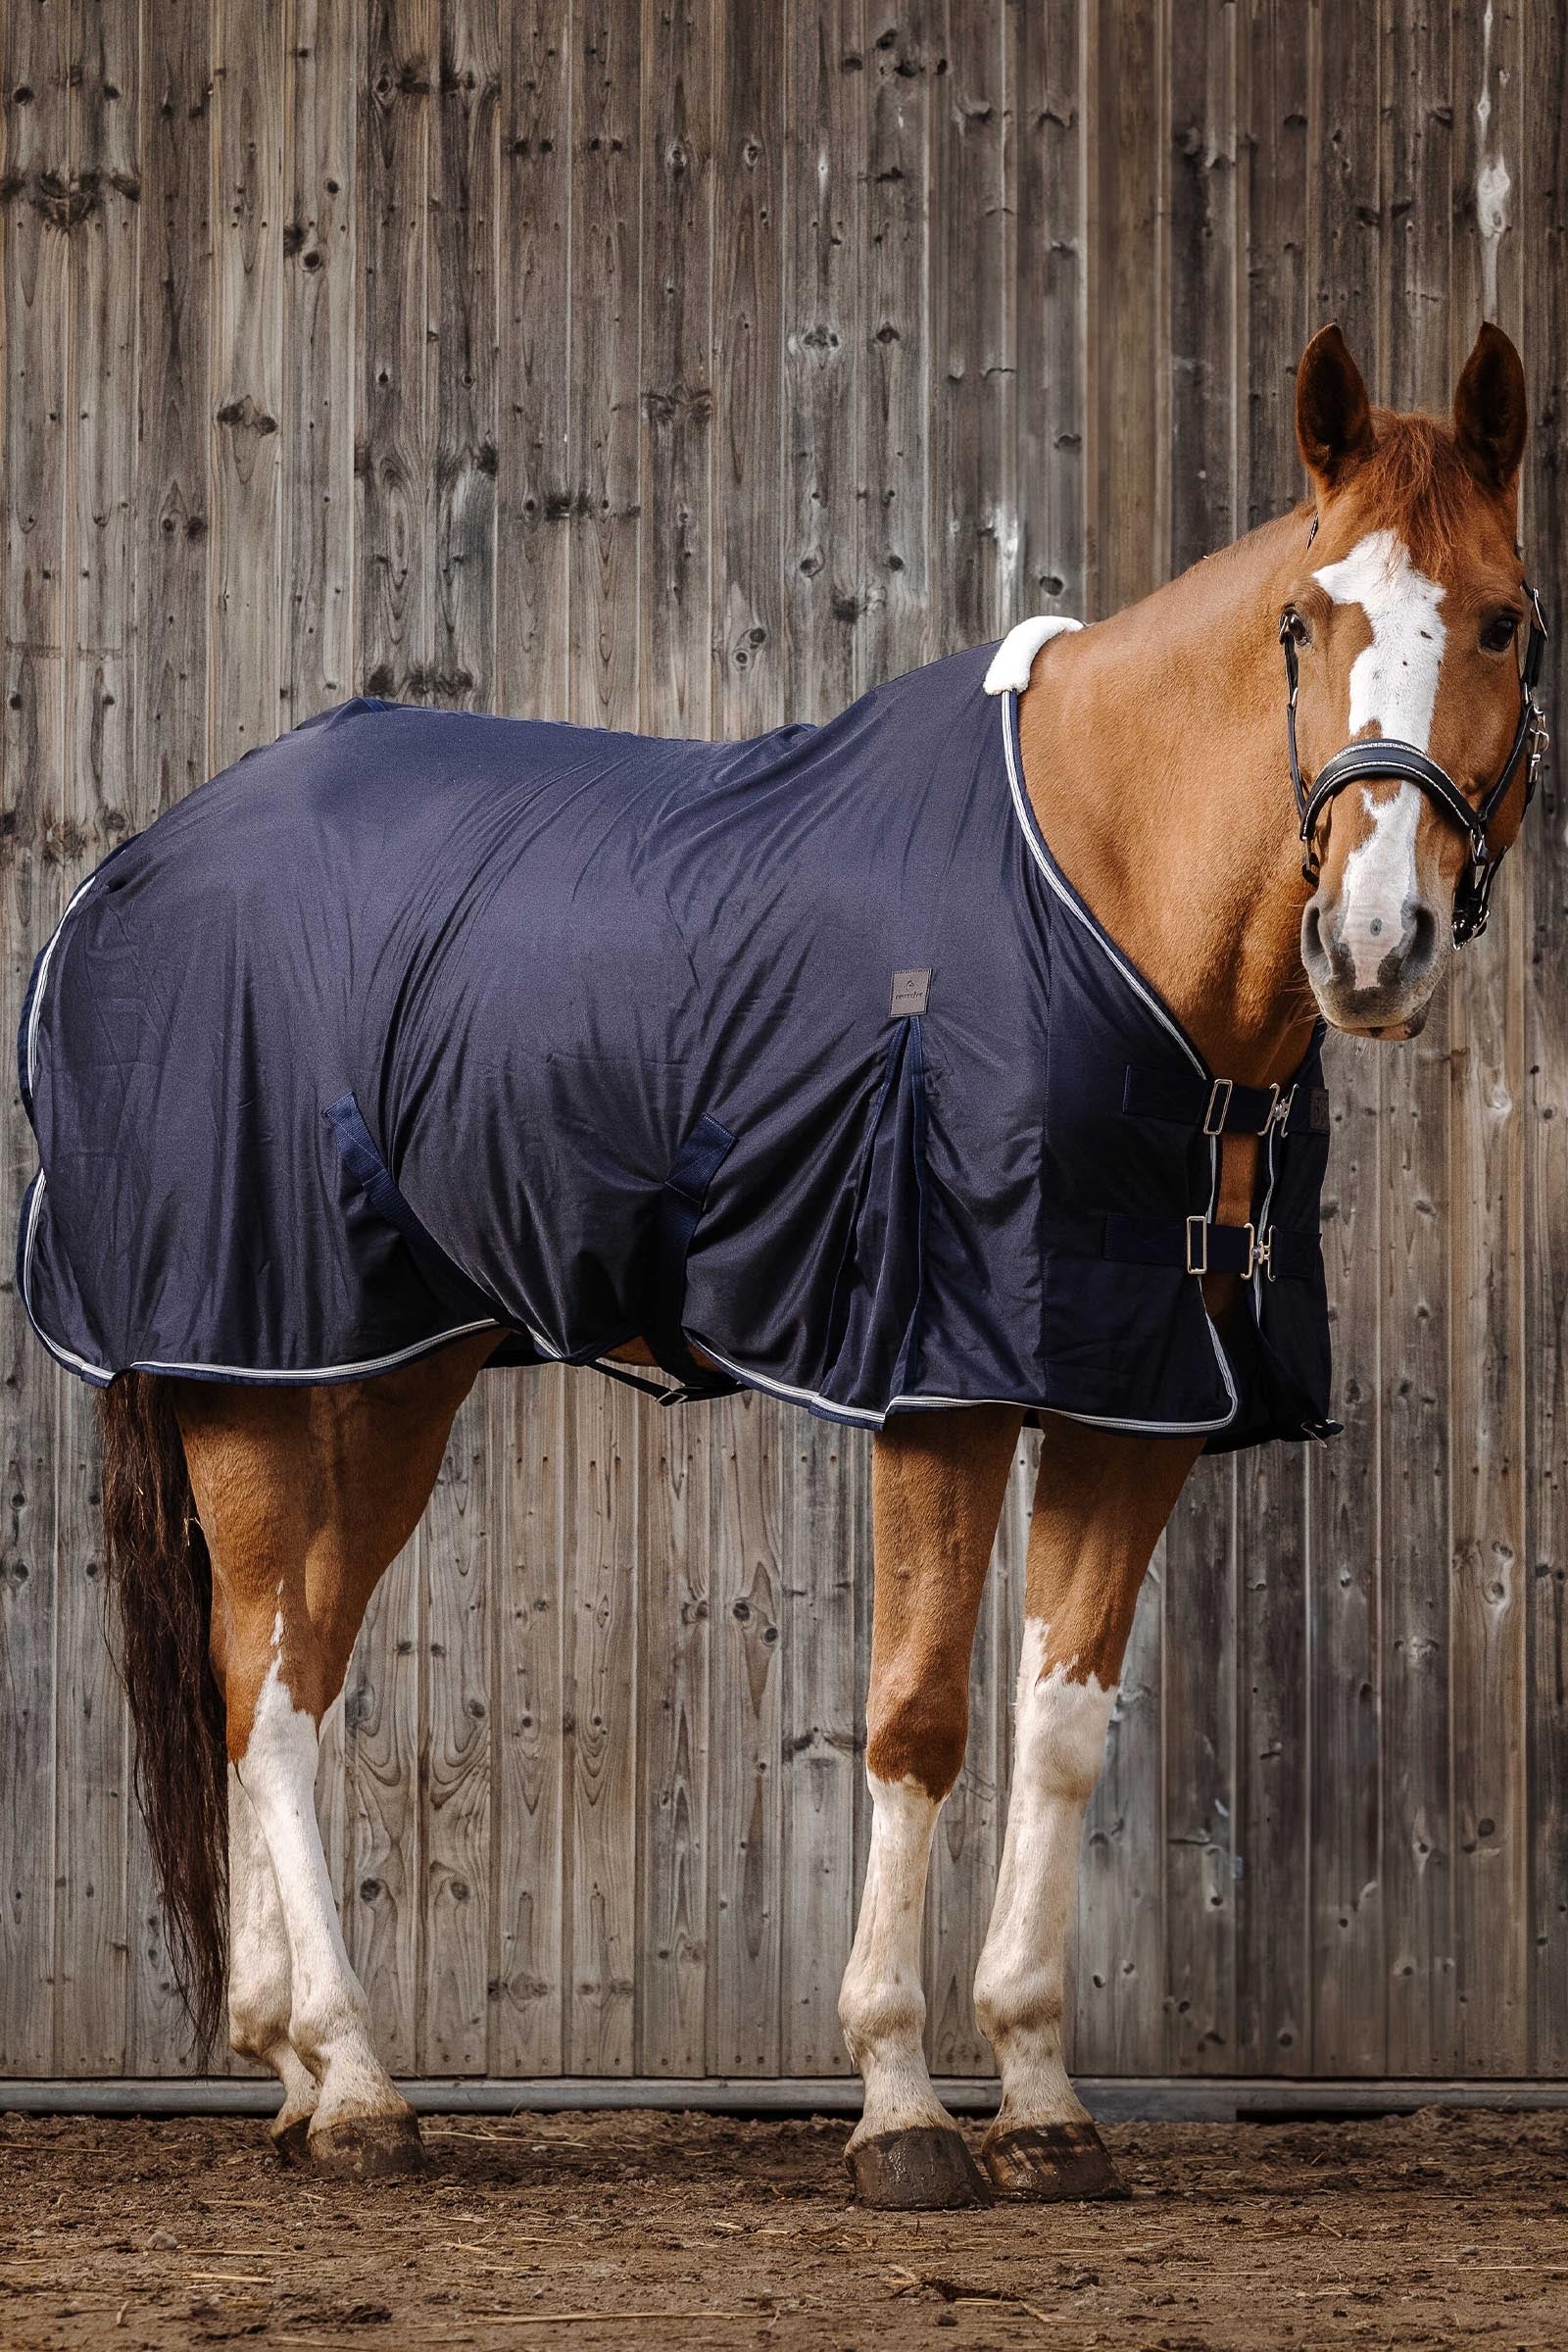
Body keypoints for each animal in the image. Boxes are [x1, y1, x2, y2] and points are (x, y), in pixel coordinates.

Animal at [21, 320, 1544, 2204]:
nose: (1374, 945)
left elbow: (1062, 1736)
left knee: (285, 1659)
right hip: (244, 1361)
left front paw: (1043, 2101)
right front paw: (898, 2106)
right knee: (269, 1690)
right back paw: (358, 2081)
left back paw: (292, 2066)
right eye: (1304, 621)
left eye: (1503, 620)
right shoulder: (942, 1376)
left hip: (381, 1376)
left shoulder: (1127, 1392)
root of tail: (131, 872)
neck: (1108, 897)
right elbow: (917, 1720)